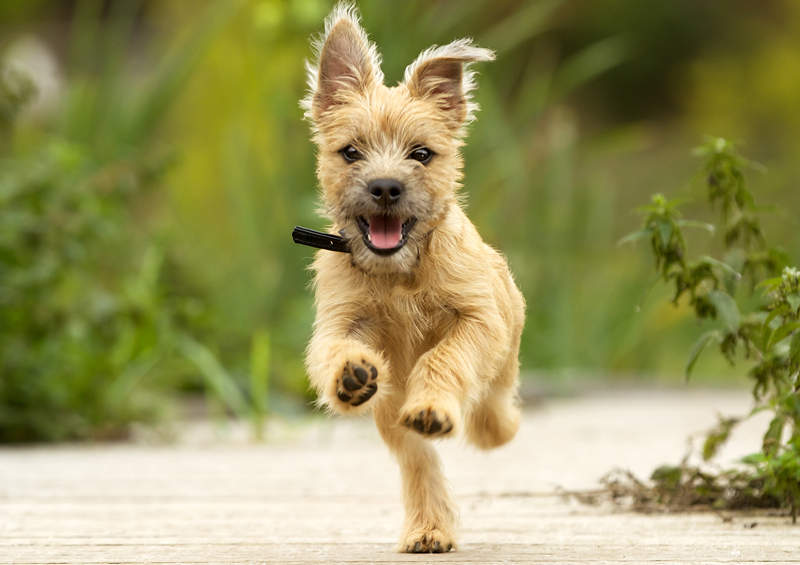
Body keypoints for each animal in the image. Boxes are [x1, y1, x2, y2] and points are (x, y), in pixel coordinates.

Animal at [300, 2, 524, 552]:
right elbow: (333, 349)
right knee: (418, 460)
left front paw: (437, 402)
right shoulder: (339, 321)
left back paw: (484, 424)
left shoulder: (478, 320)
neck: (398, 274)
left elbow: (443, 358)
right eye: (351, 152)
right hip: (391, 415)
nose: (385, 187)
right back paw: (429, 527)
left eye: (421, 154)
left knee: (492, 409)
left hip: (504, 354)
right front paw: (351, 373)